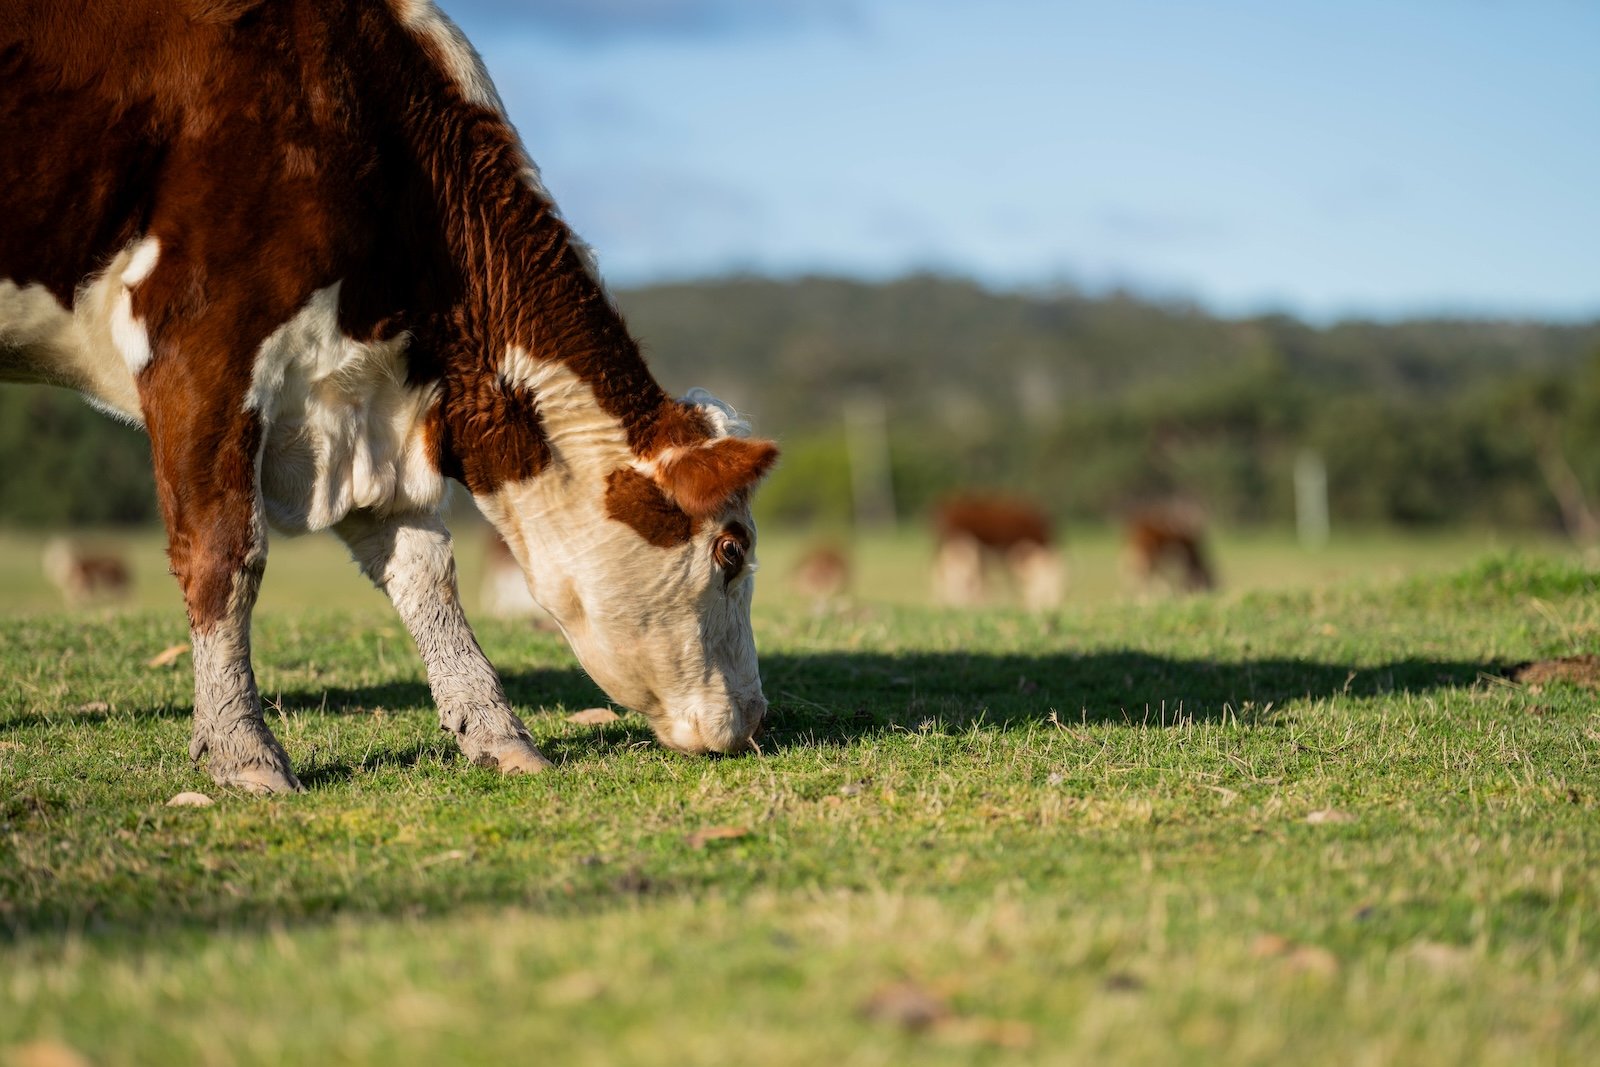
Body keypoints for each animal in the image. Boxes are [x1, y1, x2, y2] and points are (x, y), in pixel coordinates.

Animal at [1, 2, 780, 793]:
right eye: (731, 550)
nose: (755, 719)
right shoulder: (203, 342)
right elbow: (225, 552)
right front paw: (242, 749)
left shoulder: (367, 411)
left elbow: (424, 574)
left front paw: (497, 732)